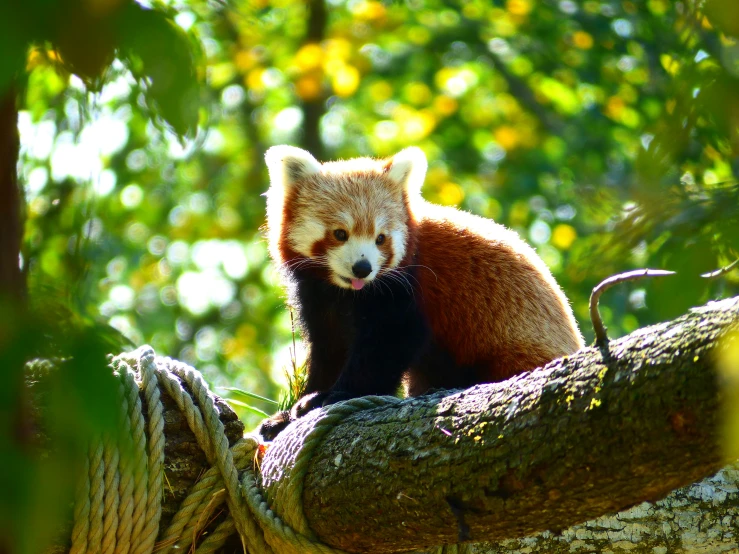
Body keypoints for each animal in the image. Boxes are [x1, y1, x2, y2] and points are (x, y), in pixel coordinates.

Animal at [258, 147, 584, 440]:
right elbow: (330, 347)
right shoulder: (319, 297)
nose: (363, 268)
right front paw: (290, 413)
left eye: (380, 239)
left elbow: (391, 342)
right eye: (340, 234)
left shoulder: (403, 289)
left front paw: (334, 395)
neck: (347, 292)